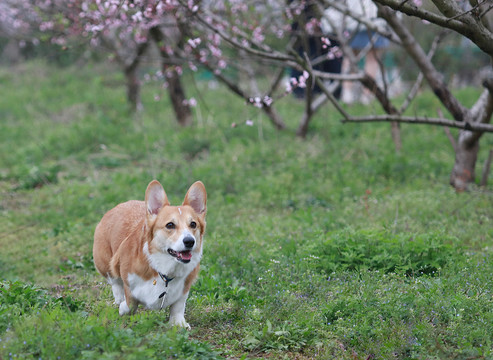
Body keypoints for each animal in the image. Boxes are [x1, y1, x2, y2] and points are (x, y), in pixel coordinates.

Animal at [92, 180, 206, 330]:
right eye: (170, 225)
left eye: (193, 224)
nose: (189, 241)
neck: (164, 270)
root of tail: (118, 206)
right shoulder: (129, 282)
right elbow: (130, 304)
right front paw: (122, 307)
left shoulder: (184, 288)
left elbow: (178, 305)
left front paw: (178, 323)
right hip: (105, 262)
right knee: (114, 281)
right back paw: (119, 299)